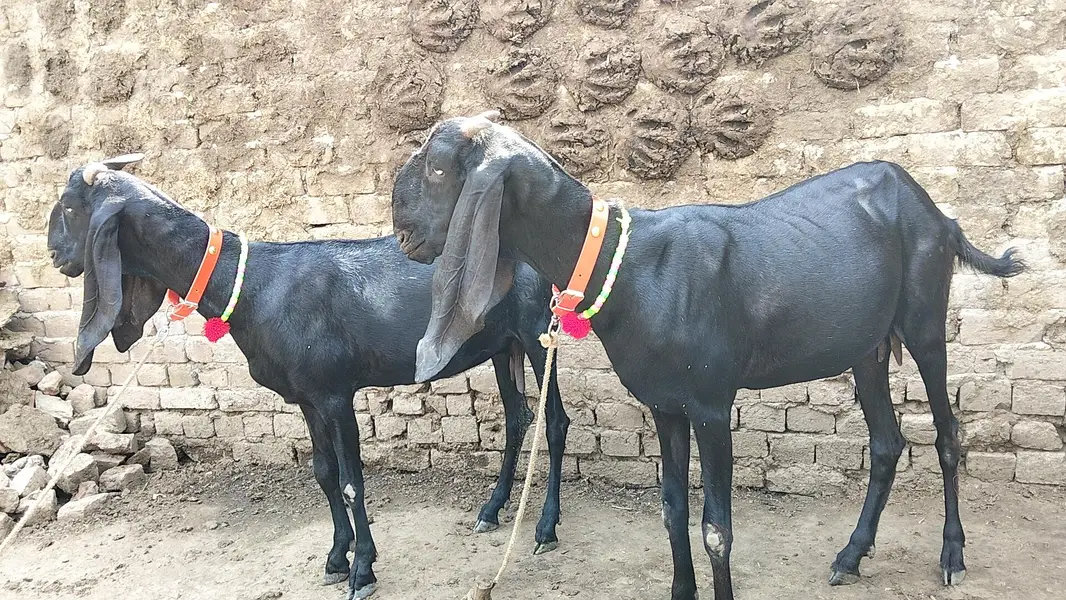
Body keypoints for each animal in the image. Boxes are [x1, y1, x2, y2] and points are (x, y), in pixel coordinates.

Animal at [45, 155, 573, 600]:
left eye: (70, 206)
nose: (53, 255)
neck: (253, 284)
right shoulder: (307, 396)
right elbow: (323, 473)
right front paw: (337, 557)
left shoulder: (336, 392)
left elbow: (352, 481)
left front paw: (362, 571)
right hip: (502, 345)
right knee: (517, 419)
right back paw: (491, 510)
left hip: (536, 331)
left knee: (555, 422)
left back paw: (545, 528)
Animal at [390, 111, 1026, 600]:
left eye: (439, 166)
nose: (401, 231)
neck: (633, 267)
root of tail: (938, 212)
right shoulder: (666, 404)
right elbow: (672, 509)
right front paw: (681, 589)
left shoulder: (712, 403)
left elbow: (716, 529)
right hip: (867, 344)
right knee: (888, 442)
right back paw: (850, 556)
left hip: (924, 319)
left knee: (947, 435)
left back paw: (952, 555)